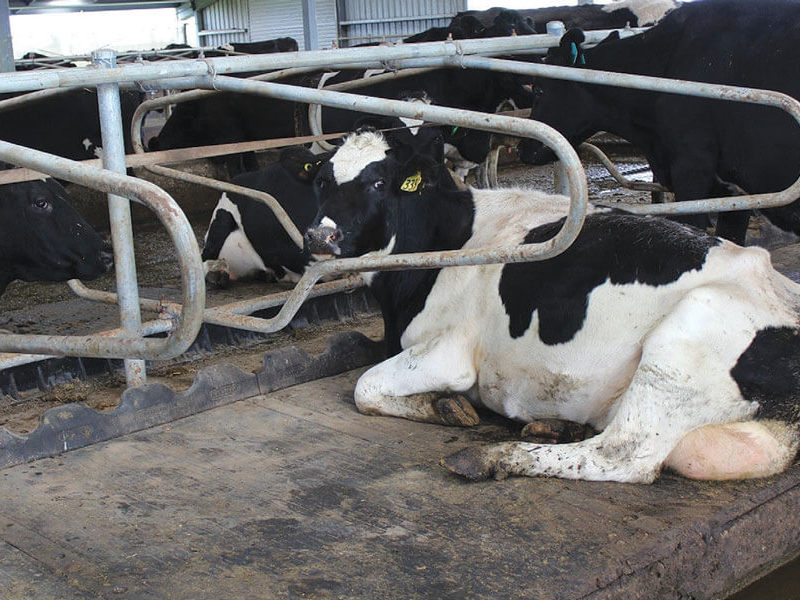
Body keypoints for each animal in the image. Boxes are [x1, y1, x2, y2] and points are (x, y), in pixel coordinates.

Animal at [303, 128, 800, 484]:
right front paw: (445, 406)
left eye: (378, 182)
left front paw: (443, 407)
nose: (319, 235)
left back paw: (492, 456)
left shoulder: (450, 352)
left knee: (625, 454)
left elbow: (365, 388)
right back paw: (556, 427)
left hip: (683, 341)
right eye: (322, 180)